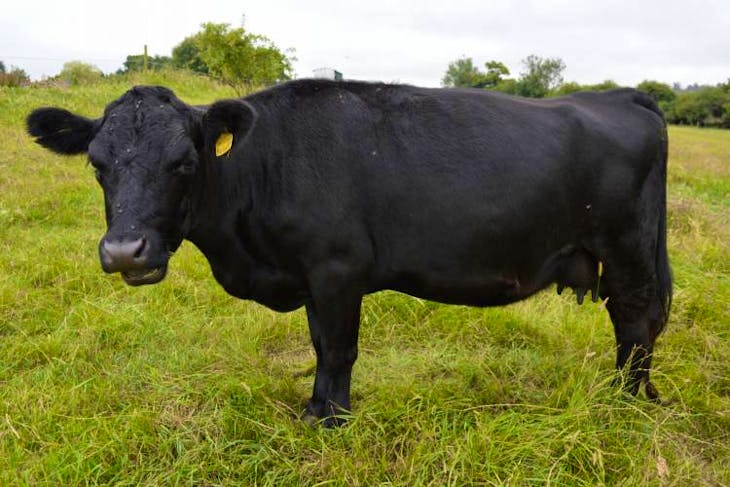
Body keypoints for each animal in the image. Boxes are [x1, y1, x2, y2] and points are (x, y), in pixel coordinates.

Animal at [27, 81, 672, 428]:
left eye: (184, 162)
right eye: (97, 164)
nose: (125, 251)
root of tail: (621, 95)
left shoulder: (337, 270)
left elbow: (337, 349)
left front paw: (331, 420)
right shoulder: (312, 279)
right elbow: (319, 346)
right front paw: (317, 408)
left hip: (630, 250)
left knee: (636, 323)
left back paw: (626, 402)